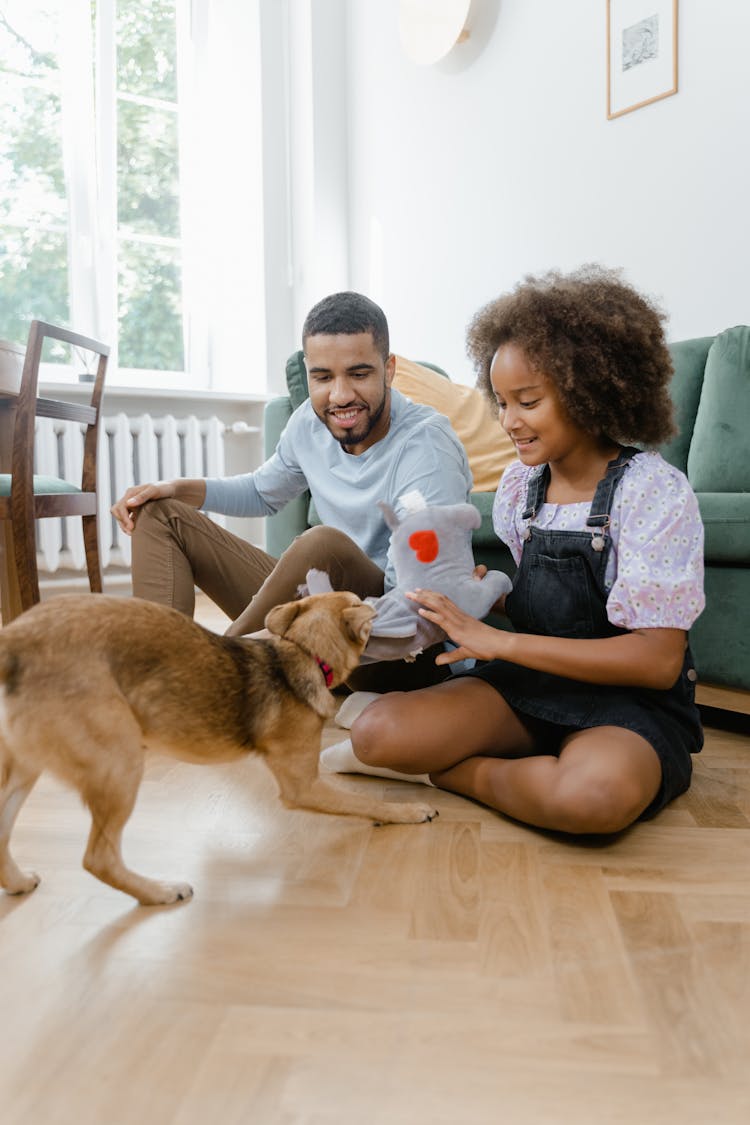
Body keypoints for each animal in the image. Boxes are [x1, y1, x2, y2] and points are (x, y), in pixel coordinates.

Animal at [0, 598, 436, 904]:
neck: (300, 652)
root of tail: (16, 640)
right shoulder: (303, 786)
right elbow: (364, 801)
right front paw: (407, 811)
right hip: (118, 765)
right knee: (99, 859)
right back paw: (160, 892)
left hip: (25, 770)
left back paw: (18, 882)